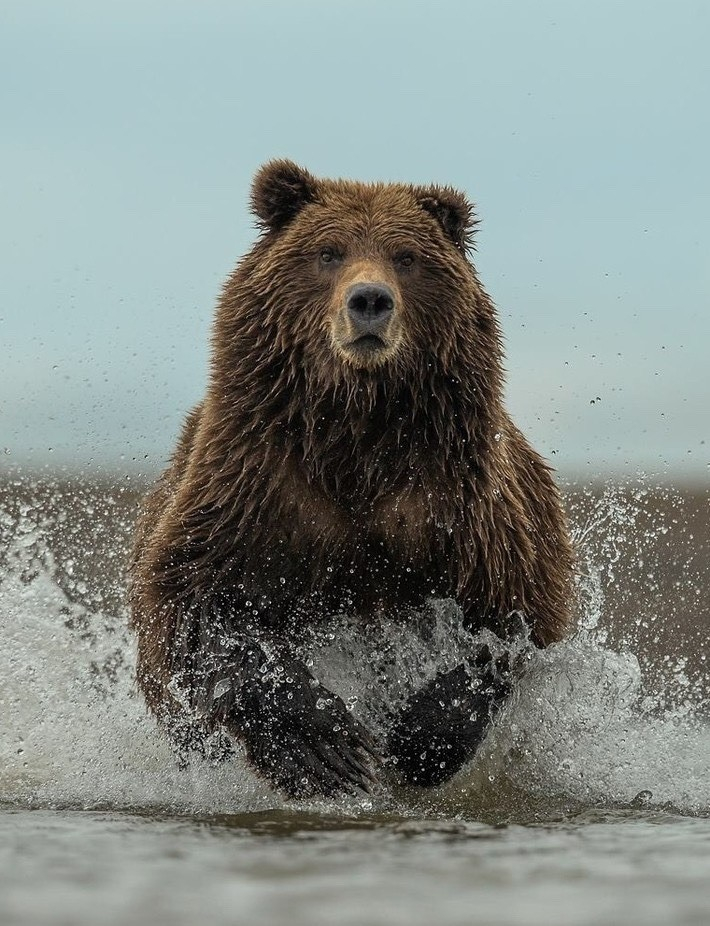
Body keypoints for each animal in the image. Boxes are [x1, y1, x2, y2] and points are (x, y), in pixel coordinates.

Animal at [131, 160, 576, 796]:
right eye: (328, 251)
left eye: (406, 257)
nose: (370, 300)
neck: (356, 434)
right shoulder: (258, 486)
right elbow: (197, 603)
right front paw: (322, 748)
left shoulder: (461, 505)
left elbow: (513, 623)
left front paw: (420, 739)